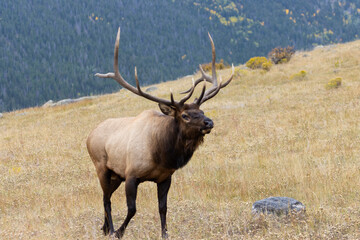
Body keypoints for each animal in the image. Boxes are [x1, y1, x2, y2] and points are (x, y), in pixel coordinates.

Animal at [87, 28, 233, 238]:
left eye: (202, 111)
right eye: (185, 115)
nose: (209, 122)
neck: (162, 154)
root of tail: (89, 136)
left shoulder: (165, 177)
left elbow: (163, 208)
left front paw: (165, 234)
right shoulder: (131, 174)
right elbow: (132, 209)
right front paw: (120, 232)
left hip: (115, 175)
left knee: (104, 197)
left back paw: (105, 228)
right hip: (101, 167)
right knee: (107, 200)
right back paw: (111, 230)